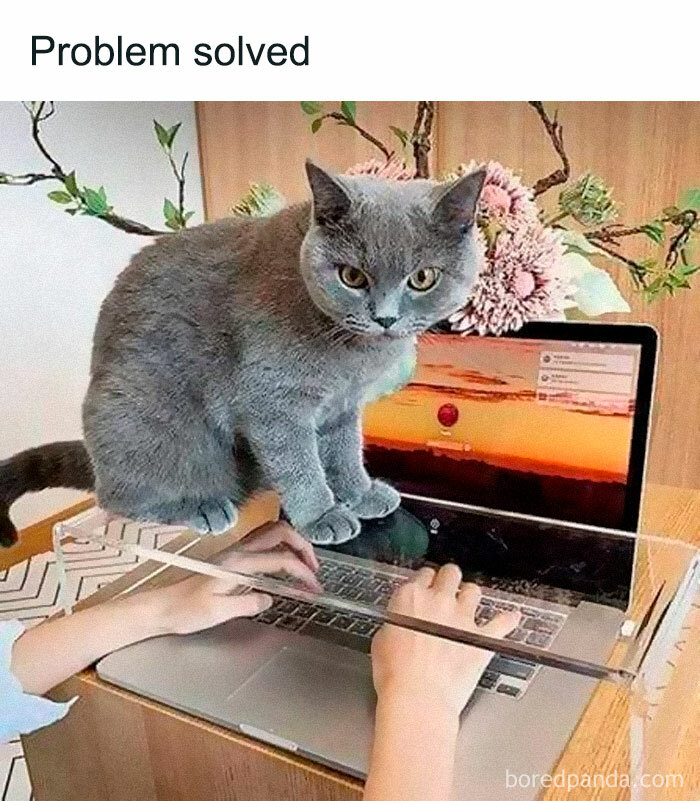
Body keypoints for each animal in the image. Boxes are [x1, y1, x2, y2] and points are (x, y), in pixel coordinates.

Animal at [0, 159, 484, 548]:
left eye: (423, 278)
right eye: (352, 276)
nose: (385, 318)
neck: (352, 354)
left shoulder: (342, 406)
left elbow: (345, 452)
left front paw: (360, 493)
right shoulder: (272, 402)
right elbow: (299, 461)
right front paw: (322, 515)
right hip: (143, 419)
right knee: (120, 496)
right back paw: (201, 506)